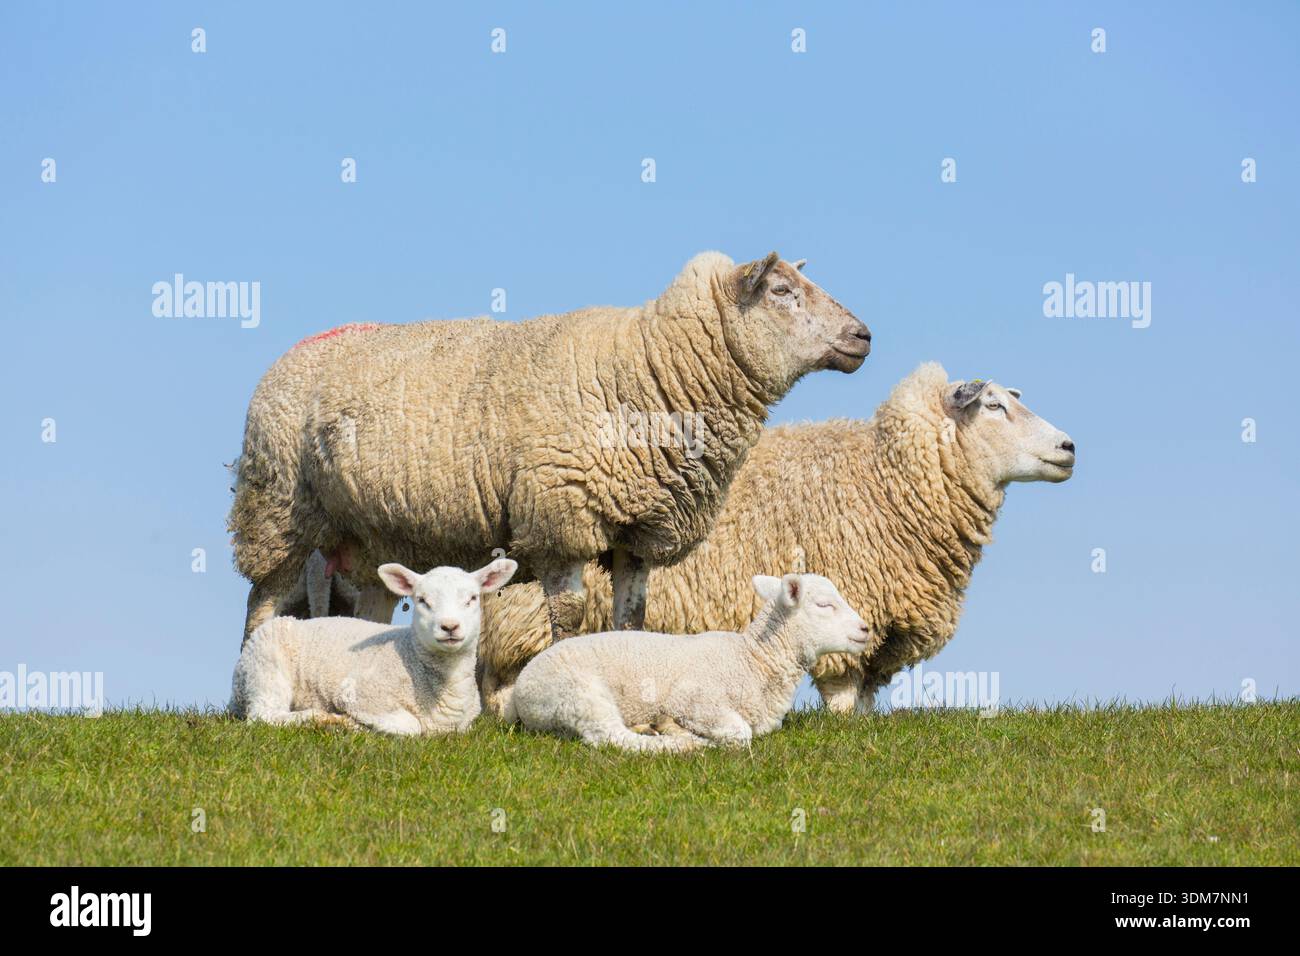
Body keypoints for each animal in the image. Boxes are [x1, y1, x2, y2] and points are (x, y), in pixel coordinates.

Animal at [228, 252, 871, 645]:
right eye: (782, 291)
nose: (864, 335)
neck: (647, 366)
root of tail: (292, 355)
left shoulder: (637, 530)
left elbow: (631, 616)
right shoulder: (559, 513)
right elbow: (570, 613)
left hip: (364, 538)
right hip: (278, 511)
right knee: (263, 599)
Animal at [229, 558, 517, 734]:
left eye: (472, 598)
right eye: (422, 600)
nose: (449, 627)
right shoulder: (356, 694)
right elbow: (411, 726)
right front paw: (355, 723)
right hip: (266, 666)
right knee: (265, 715)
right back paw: (325, 718)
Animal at [478, 363, 1075, 716]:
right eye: (994, 406)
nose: (1069, 447)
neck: (884, 477)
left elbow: (865, 697)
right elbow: (842, 690)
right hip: (526, 612)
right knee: (504, 676)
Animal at [506, 573, 871, 752]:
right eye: (824, 605)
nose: (865, 629)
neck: (752, 660)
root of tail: (519, 692)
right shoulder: (693, 700)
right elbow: (740, 733)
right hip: (578, 693)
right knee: (611, 738)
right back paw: (682, 742)